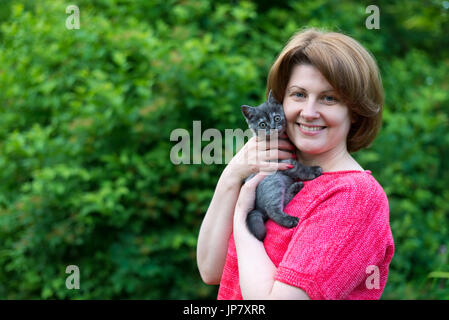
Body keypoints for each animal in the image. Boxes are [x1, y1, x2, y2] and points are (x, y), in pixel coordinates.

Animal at [242, 90, 322, 240]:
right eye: (262, 124)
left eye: (277, 118)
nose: (273, 127)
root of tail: (257, 207)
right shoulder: (280, 162)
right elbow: (297, 166)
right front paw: (313, 170)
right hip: (273, 181)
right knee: (272, 210)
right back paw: (289, 219)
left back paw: (295, 187)